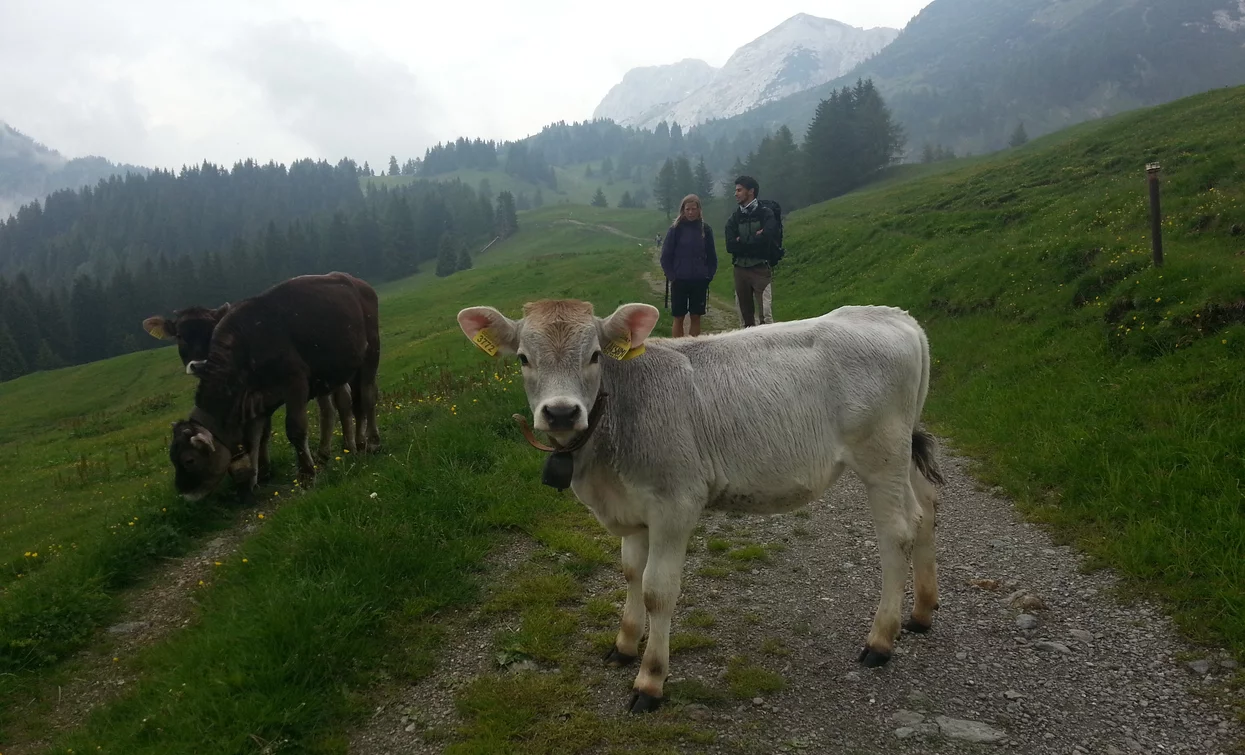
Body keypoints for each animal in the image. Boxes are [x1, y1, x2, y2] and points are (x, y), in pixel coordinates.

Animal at [143, 302, 356, 473]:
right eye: (179, 335)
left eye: (212, 332)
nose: (199, 363)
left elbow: (263, 432)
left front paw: (263, 469)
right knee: (327, 409)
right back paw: (324, 454)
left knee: (341, 401)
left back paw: (347, 447)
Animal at [166, 271, 378, 503]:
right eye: (172, 458)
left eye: (189, 460)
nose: (185, 493)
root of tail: (356, 281)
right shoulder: (255, 400)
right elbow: (254, 439)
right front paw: (251, 481)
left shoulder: (295, 382)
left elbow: (295, 429)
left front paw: (306, 476)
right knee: (354, 403)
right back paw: (358, 443)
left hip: (371, 352)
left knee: (367, 397)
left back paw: (372, 441)